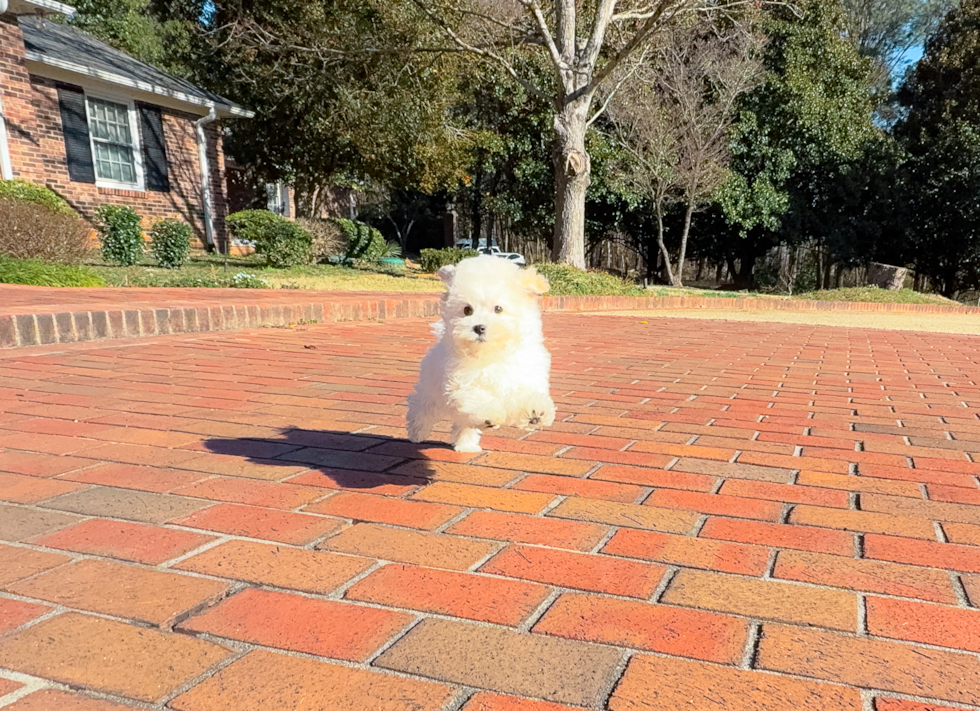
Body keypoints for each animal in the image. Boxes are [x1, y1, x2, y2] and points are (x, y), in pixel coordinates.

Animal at [406, 256, 556, 454]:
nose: (478, 327)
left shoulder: (522, 375)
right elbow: (478, 398)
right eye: (467, 310)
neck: (492, 355)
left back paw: (466, 444)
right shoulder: (461, 383)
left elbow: (526, 392)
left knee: (463, 422)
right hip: (432, 390)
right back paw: (417, 432)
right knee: (422, 407)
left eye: (498, 308)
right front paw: (491, 414)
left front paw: (535, 410)